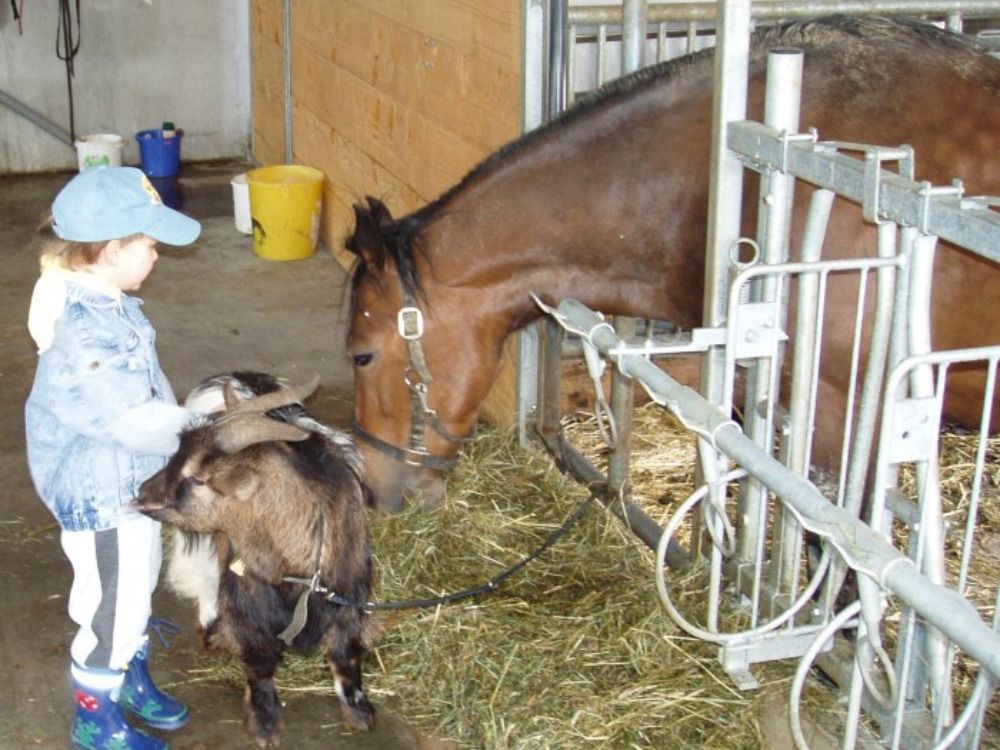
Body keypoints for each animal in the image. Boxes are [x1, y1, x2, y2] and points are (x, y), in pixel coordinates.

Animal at [133, 372, 376, 746]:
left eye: (199, 478)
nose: (142, 493)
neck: (296, 573)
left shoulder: (348, 592)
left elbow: (345, 653)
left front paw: (359, 711)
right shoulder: (247, 599)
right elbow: (259, 661)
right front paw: (265, 723)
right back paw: (212, 627)